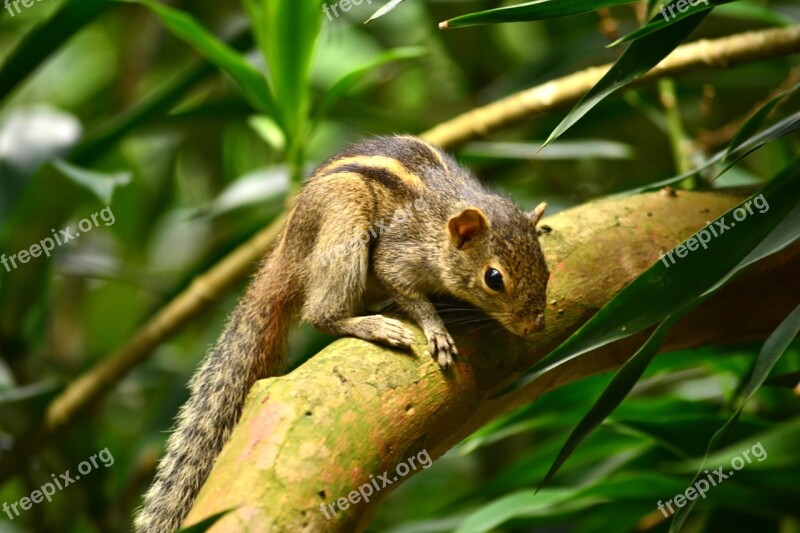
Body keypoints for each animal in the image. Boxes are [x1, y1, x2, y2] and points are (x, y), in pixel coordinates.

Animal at [136, 135, 552, 528]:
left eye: (546, 269)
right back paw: (374, 325)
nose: (534, 325)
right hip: (344, 223)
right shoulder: (399, 255)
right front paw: (435, 329)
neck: (441, 224)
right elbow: (408, 293)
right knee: (321, 314)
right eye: (494, 278)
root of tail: (287, 255)